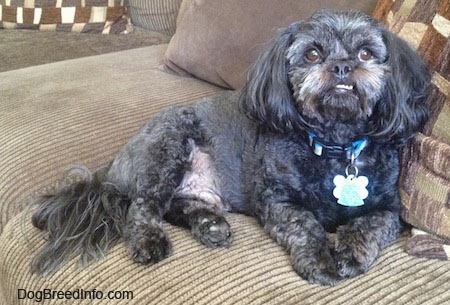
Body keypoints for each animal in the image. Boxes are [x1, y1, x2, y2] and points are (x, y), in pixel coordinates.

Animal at [30, 10, 428, 284]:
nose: (343, 66)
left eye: (366, 54)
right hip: (167, 147)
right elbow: (304, 224)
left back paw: (210, 225)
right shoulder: (277, 201)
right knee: (143, 207)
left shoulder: (391, 209)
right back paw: (149, 242)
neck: (335, 145)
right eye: (313, 55)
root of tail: (115, 164)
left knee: (176, 207)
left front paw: (350, 253)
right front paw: (320, 260)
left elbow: (371, 225)